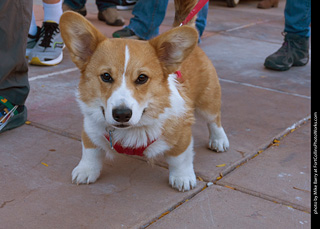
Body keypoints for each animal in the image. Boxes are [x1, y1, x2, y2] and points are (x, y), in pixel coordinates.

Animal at [60, 10, 229, 191]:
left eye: (142, 78)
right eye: (106, 76)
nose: (122, 114)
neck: (133, 129)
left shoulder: (181, 133)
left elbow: (180, 159)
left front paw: (182, 178)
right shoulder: (90, 129)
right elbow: (90, 153)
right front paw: (85, 171)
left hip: (208, 102)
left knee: (214, 120)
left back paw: (219, 140)